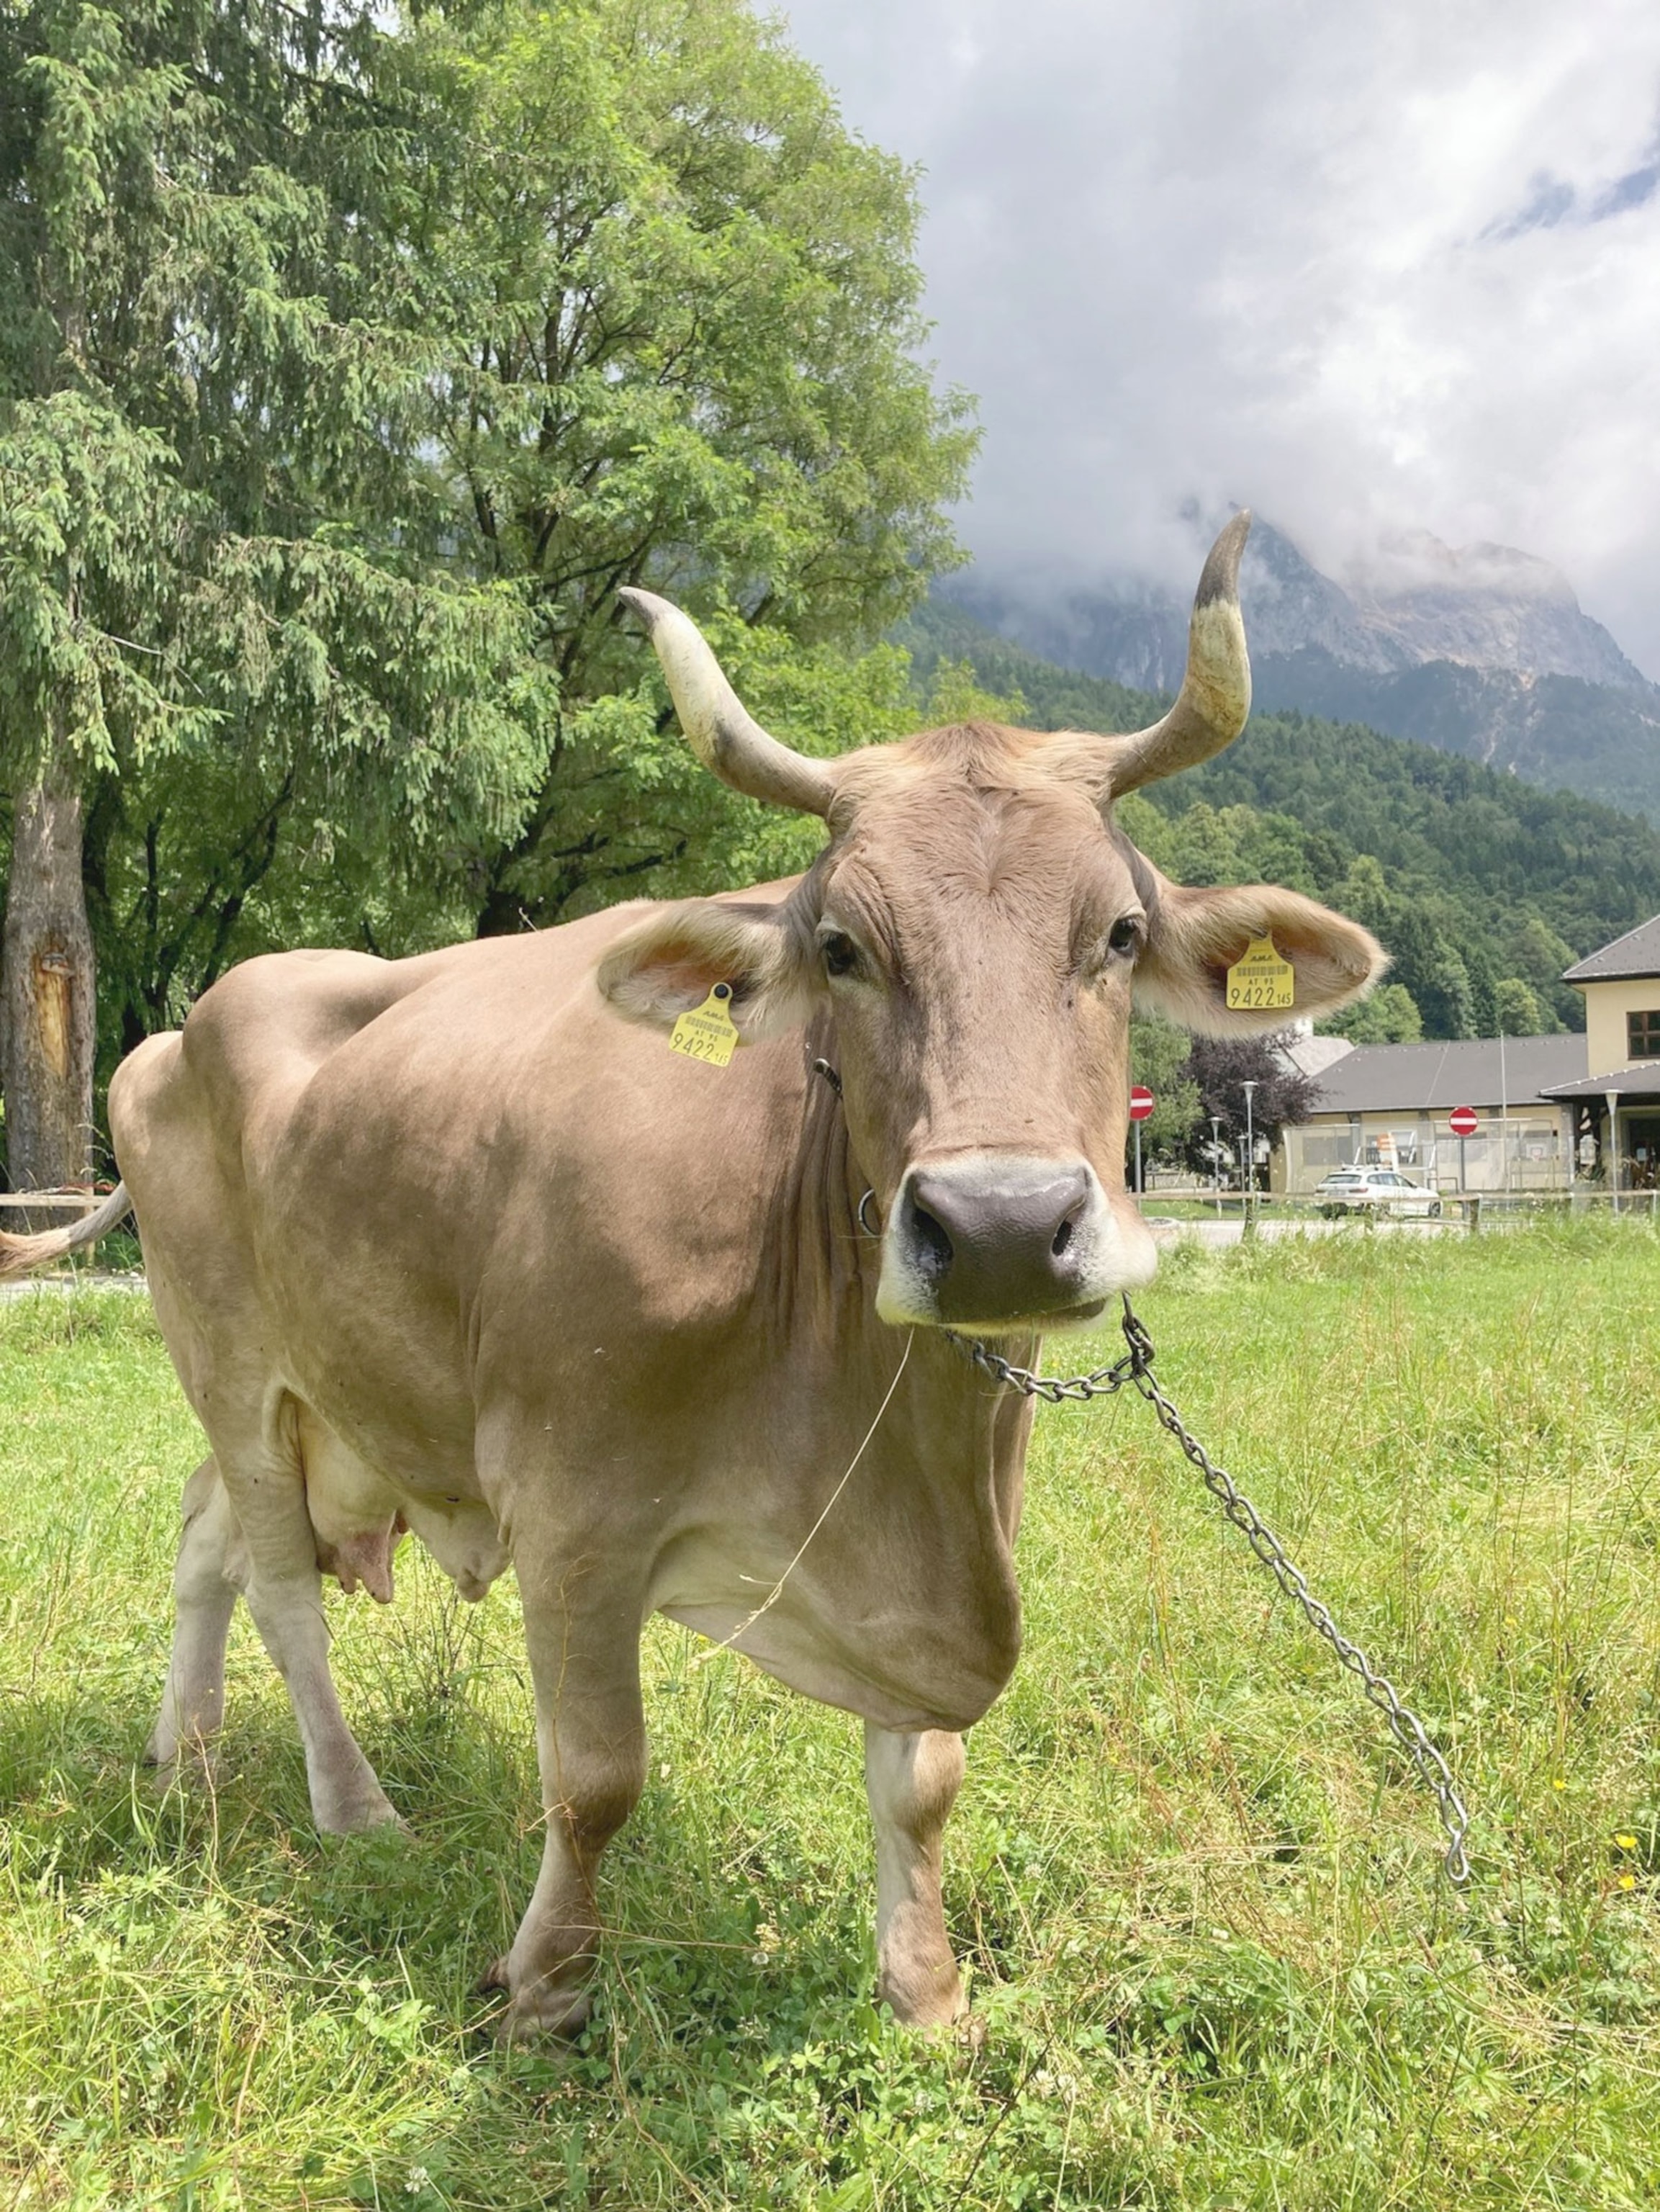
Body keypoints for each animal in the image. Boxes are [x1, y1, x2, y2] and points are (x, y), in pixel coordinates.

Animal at [3, 515, 1382, 2039]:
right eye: (841, 946)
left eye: (1121, 935)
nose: (1001, 1224)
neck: (869, 1417)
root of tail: (173, 1031)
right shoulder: (572, 1509)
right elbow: (596, 1776)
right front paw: (542, 1986)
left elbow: (924, 1780)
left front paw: (928, 1996)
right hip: (231, 1356)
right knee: (279, 1583)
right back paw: (351, 1806)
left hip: (335, 1395)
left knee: (209, 1537)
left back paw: (180, 1756)